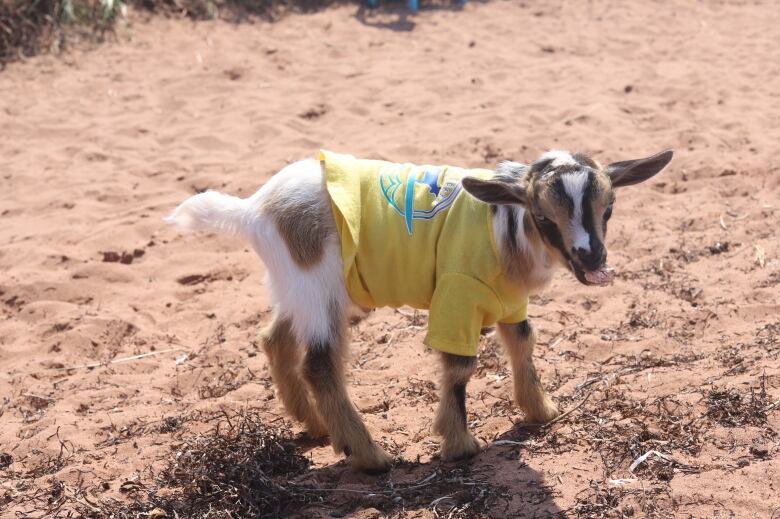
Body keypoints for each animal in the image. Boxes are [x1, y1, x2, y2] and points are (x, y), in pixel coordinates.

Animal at [168, 147, 672, 476]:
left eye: (608, 210)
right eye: (544, 217)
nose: (592, 260)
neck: (503, 224)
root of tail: (254, 208)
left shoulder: (510, 300)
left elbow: (523, 341)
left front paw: (541, 410)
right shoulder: (457, 294)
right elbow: (460, 367)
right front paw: (459, 445)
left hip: (295, 286)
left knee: (274, 339)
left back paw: (314, 426)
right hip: (318, 285)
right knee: (319, 363)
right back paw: (368, 456)